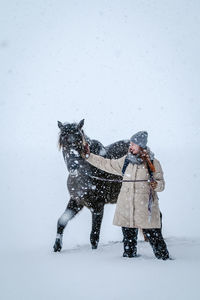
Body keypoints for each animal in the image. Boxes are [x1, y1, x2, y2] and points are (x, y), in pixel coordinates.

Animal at [54, 118, 130, 252]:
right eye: (63, 142)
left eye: (79, 141)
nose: (74, 166)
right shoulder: (76, 201)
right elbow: (62, 221)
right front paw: (57, 247)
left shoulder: (98, 206)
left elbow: (94, 236)